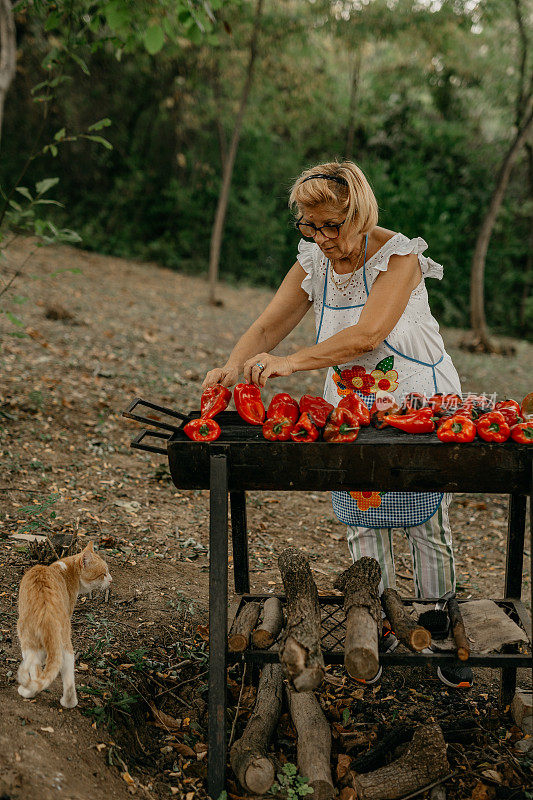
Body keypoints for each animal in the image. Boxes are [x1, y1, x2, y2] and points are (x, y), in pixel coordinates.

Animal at [16, 544, 111, 708]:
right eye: (103, 574)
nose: (111, 580)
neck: (65, 568)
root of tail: (47, 611)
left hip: (26, 635)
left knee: (36, 670)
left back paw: (28, 692)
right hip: (65, 639)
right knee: (67, 670)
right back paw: (69, 702)